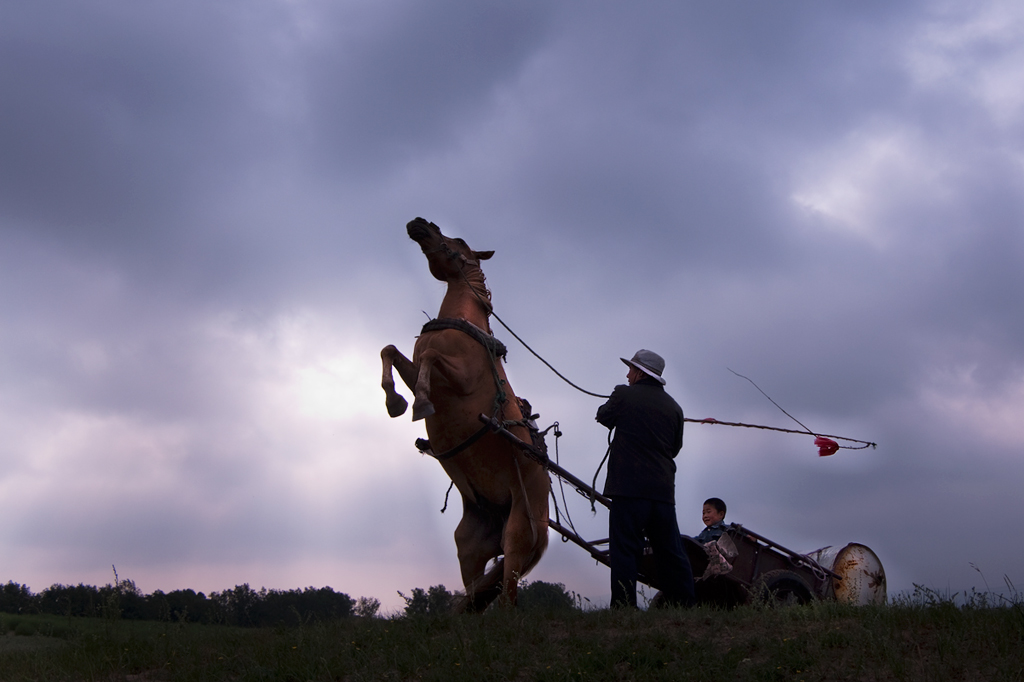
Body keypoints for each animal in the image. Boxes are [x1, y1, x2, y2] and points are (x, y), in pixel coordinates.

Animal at [380, 218, 548, 610]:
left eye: (456, 239)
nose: (419, 223)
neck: (463, 321)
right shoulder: (415, 366)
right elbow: (390, 350)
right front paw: (395, 402)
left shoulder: (459, 376)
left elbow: (430, 359)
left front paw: (419, 403)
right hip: (471, 546)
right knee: (475, 592)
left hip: (517, 536)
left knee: (509, 594)